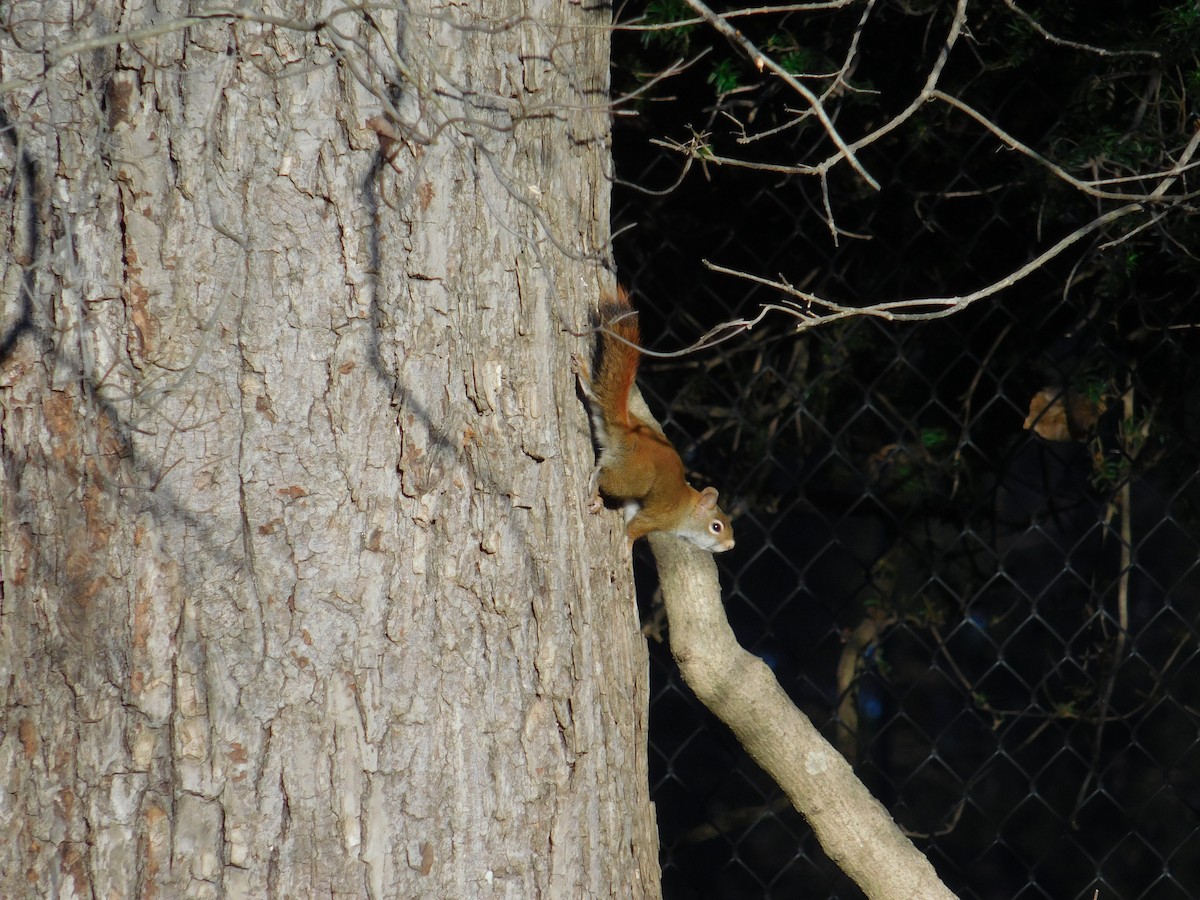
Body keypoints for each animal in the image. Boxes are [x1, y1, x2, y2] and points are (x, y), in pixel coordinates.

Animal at [574, 288, 735, 553]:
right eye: (716, 527)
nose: (731, 545)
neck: (686, 509)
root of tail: (628, 430)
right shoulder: (658, 518)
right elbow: (635, 529)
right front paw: (626, 549)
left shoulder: (636, 507)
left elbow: (630, 517)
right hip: (634, 477)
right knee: (601, 474)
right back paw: (595, 492)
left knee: (597, 399)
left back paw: (586, 381)